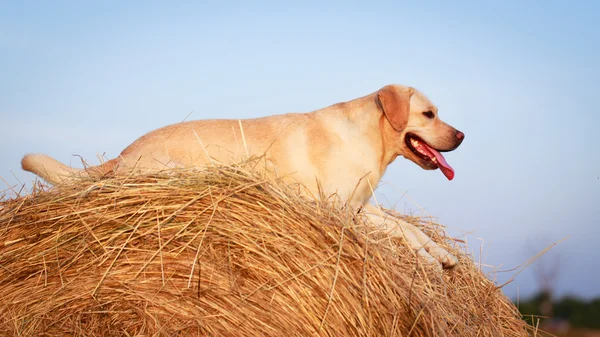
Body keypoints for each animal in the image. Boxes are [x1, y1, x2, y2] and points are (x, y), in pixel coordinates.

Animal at [22, 84, 464, 268]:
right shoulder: (335, 208)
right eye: (429, 114)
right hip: (175, 172)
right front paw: (428, 263)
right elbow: (398, 233)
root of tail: (121, 155)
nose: (461, 135)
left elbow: (408, 229)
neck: (369, 137)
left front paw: (440, 255)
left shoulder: (358, 206)